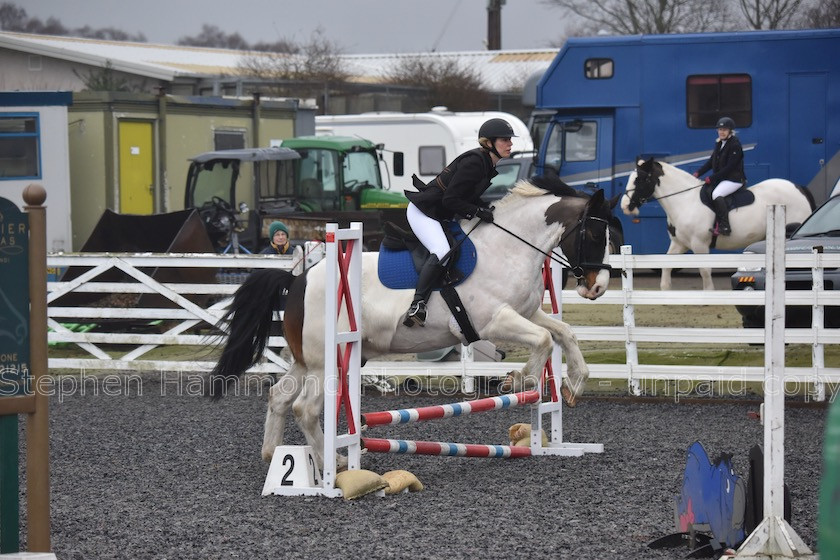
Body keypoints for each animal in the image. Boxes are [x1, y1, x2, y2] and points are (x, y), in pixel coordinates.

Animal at [210, 176, 612, 468]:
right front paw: (520, 379)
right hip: (327, 361)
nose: (598, 287)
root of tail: (297, 280)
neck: (509, 248)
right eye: (595, 234)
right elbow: (543, 339)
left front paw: (574, 384)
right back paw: (333, 464)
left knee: (280, 397)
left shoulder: (525, 313)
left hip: (307, 360)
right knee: (305, 409)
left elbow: (562, 332)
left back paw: (275, 455)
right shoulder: (491, 322)